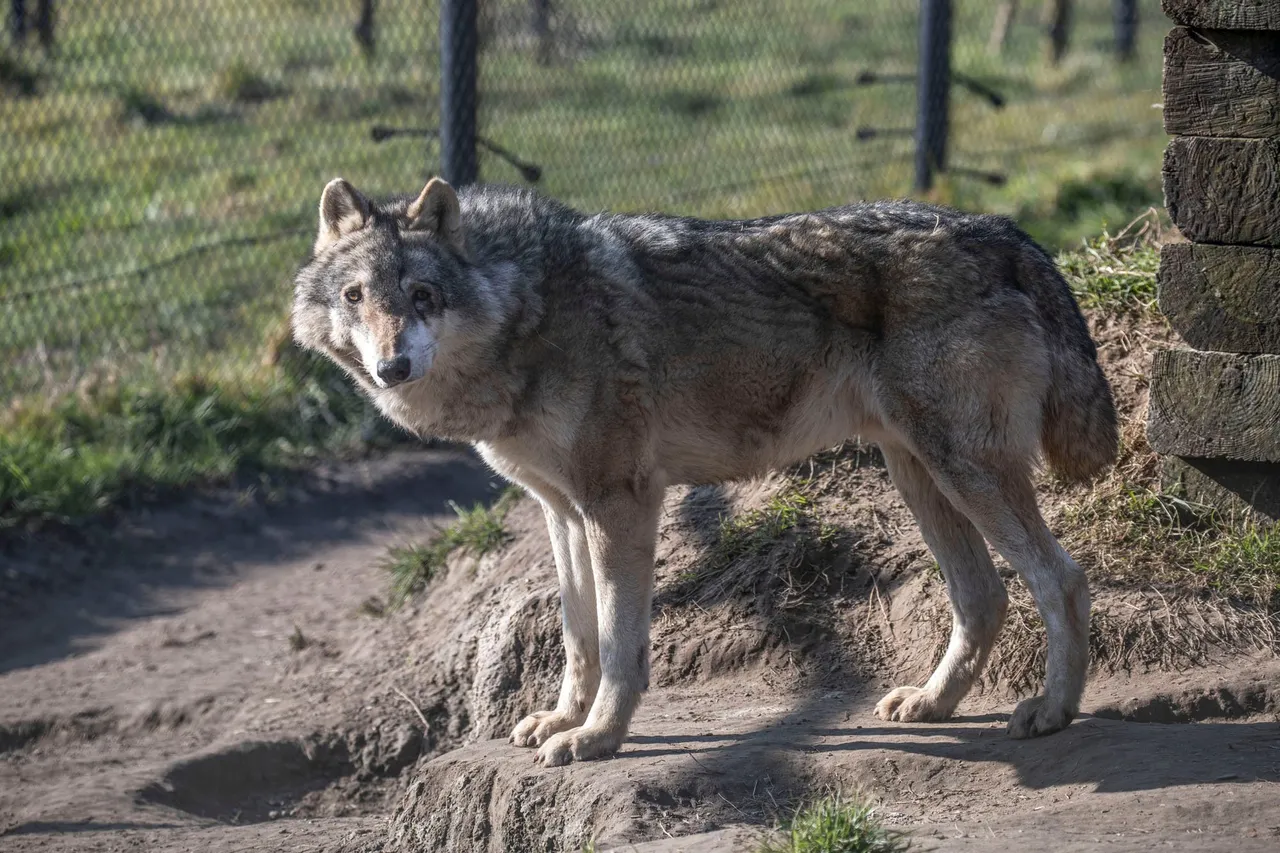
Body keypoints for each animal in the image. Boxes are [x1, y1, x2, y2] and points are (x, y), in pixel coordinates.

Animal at [291, 176, 1117, 767]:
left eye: (423, 296)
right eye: (356, 297)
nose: (392, 366)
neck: (529, 302)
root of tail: (1002, 230)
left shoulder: (620, 503)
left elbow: (619, 643)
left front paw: (597, 737)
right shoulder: (563, 511)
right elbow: (577, 635)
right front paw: (563, 717)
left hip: (965, 472)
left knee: (1063, 578)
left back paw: (1052, 712)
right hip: (920, 475)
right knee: (983, 596)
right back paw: (933, 704)